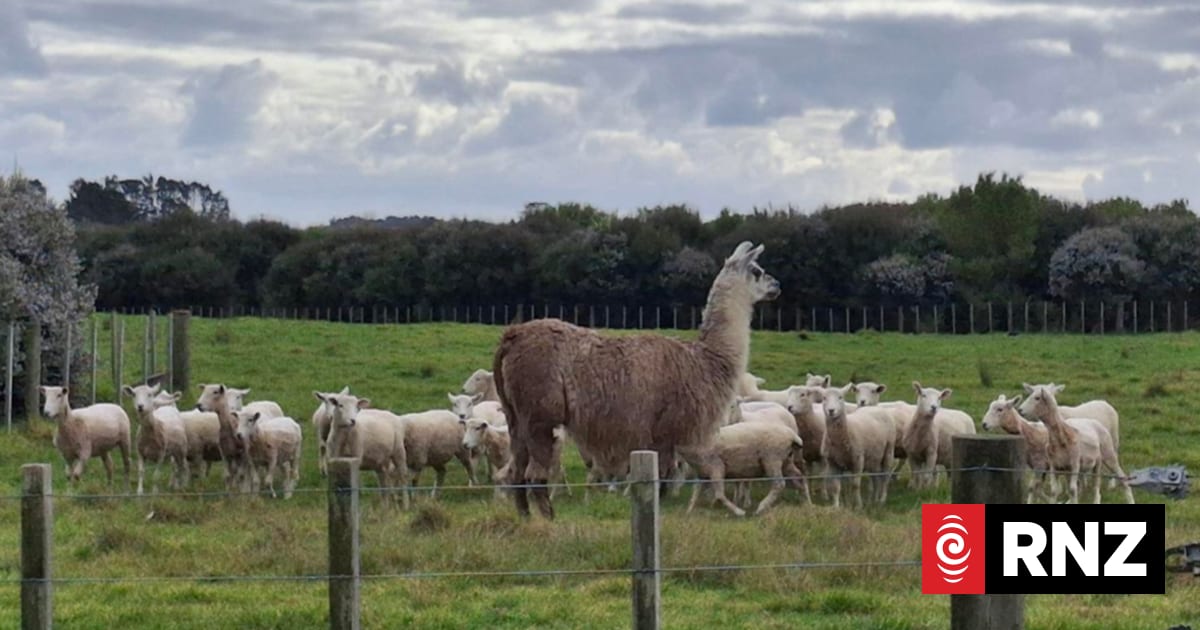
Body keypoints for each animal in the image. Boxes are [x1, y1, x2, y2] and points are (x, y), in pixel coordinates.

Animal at [494, 241, 780, 519]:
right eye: (757, 270)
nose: (777, 285)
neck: (707, 359)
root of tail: (512, 336)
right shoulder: (666, 429)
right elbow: (661, 480)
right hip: (539, 414)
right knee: (534, 475)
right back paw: (548, 521)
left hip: (515, 416)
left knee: (517, 471)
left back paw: (525, 519)